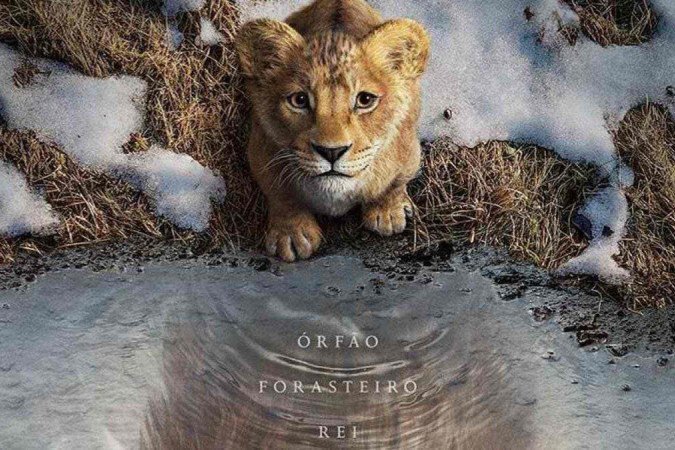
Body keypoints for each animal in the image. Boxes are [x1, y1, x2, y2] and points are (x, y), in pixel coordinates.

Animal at [236, 0, 430, 262]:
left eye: (365, 100)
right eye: (299, 100)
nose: (332, 152)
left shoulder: (409, 151)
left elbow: (395, 183)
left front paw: (388, 212)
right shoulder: (261, 150)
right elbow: (280, 193)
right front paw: (292, 234)